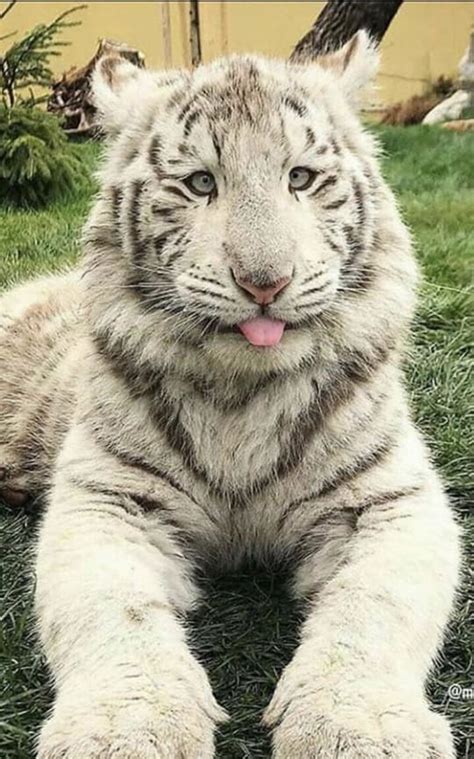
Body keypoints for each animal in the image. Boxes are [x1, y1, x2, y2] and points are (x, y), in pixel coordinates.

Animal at [0, 31, 460, 759]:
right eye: (200, 183)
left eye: (300, 178)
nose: (265, 281)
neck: (243, 391)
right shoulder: (107, 497)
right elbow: (108, 609)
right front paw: (127, 728)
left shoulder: (391, 499)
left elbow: (376, 605)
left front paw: (355, 727)